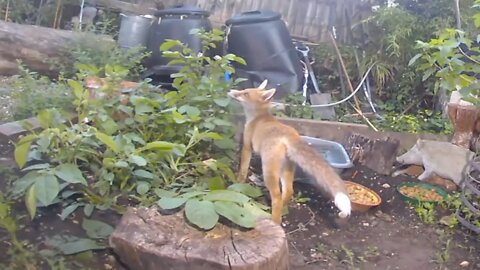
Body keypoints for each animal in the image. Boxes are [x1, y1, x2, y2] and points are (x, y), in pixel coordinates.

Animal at [227, 79, 350, 224]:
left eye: (245, 93)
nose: (231, 91)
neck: (258, 118)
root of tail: (291, 135)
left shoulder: (247, 147)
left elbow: (243, 170)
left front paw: (238, 183)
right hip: (286, 168)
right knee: (288, 192)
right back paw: (281, 211)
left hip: (269, 170)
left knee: (277, 196)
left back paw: (275, 221)